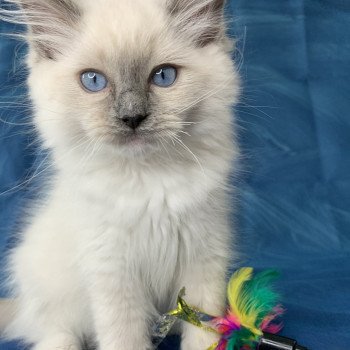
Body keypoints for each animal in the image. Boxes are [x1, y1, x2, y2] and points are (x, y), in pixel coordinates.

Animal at [0, 0, 239, 350]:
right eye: (93, 81)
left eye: (163, 76)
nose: (132, 118)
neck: (150, 180)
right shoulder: (112, 272)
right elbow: (124, 337)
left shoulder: (204, 258)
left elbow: (202, 333)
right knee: (52, 331)